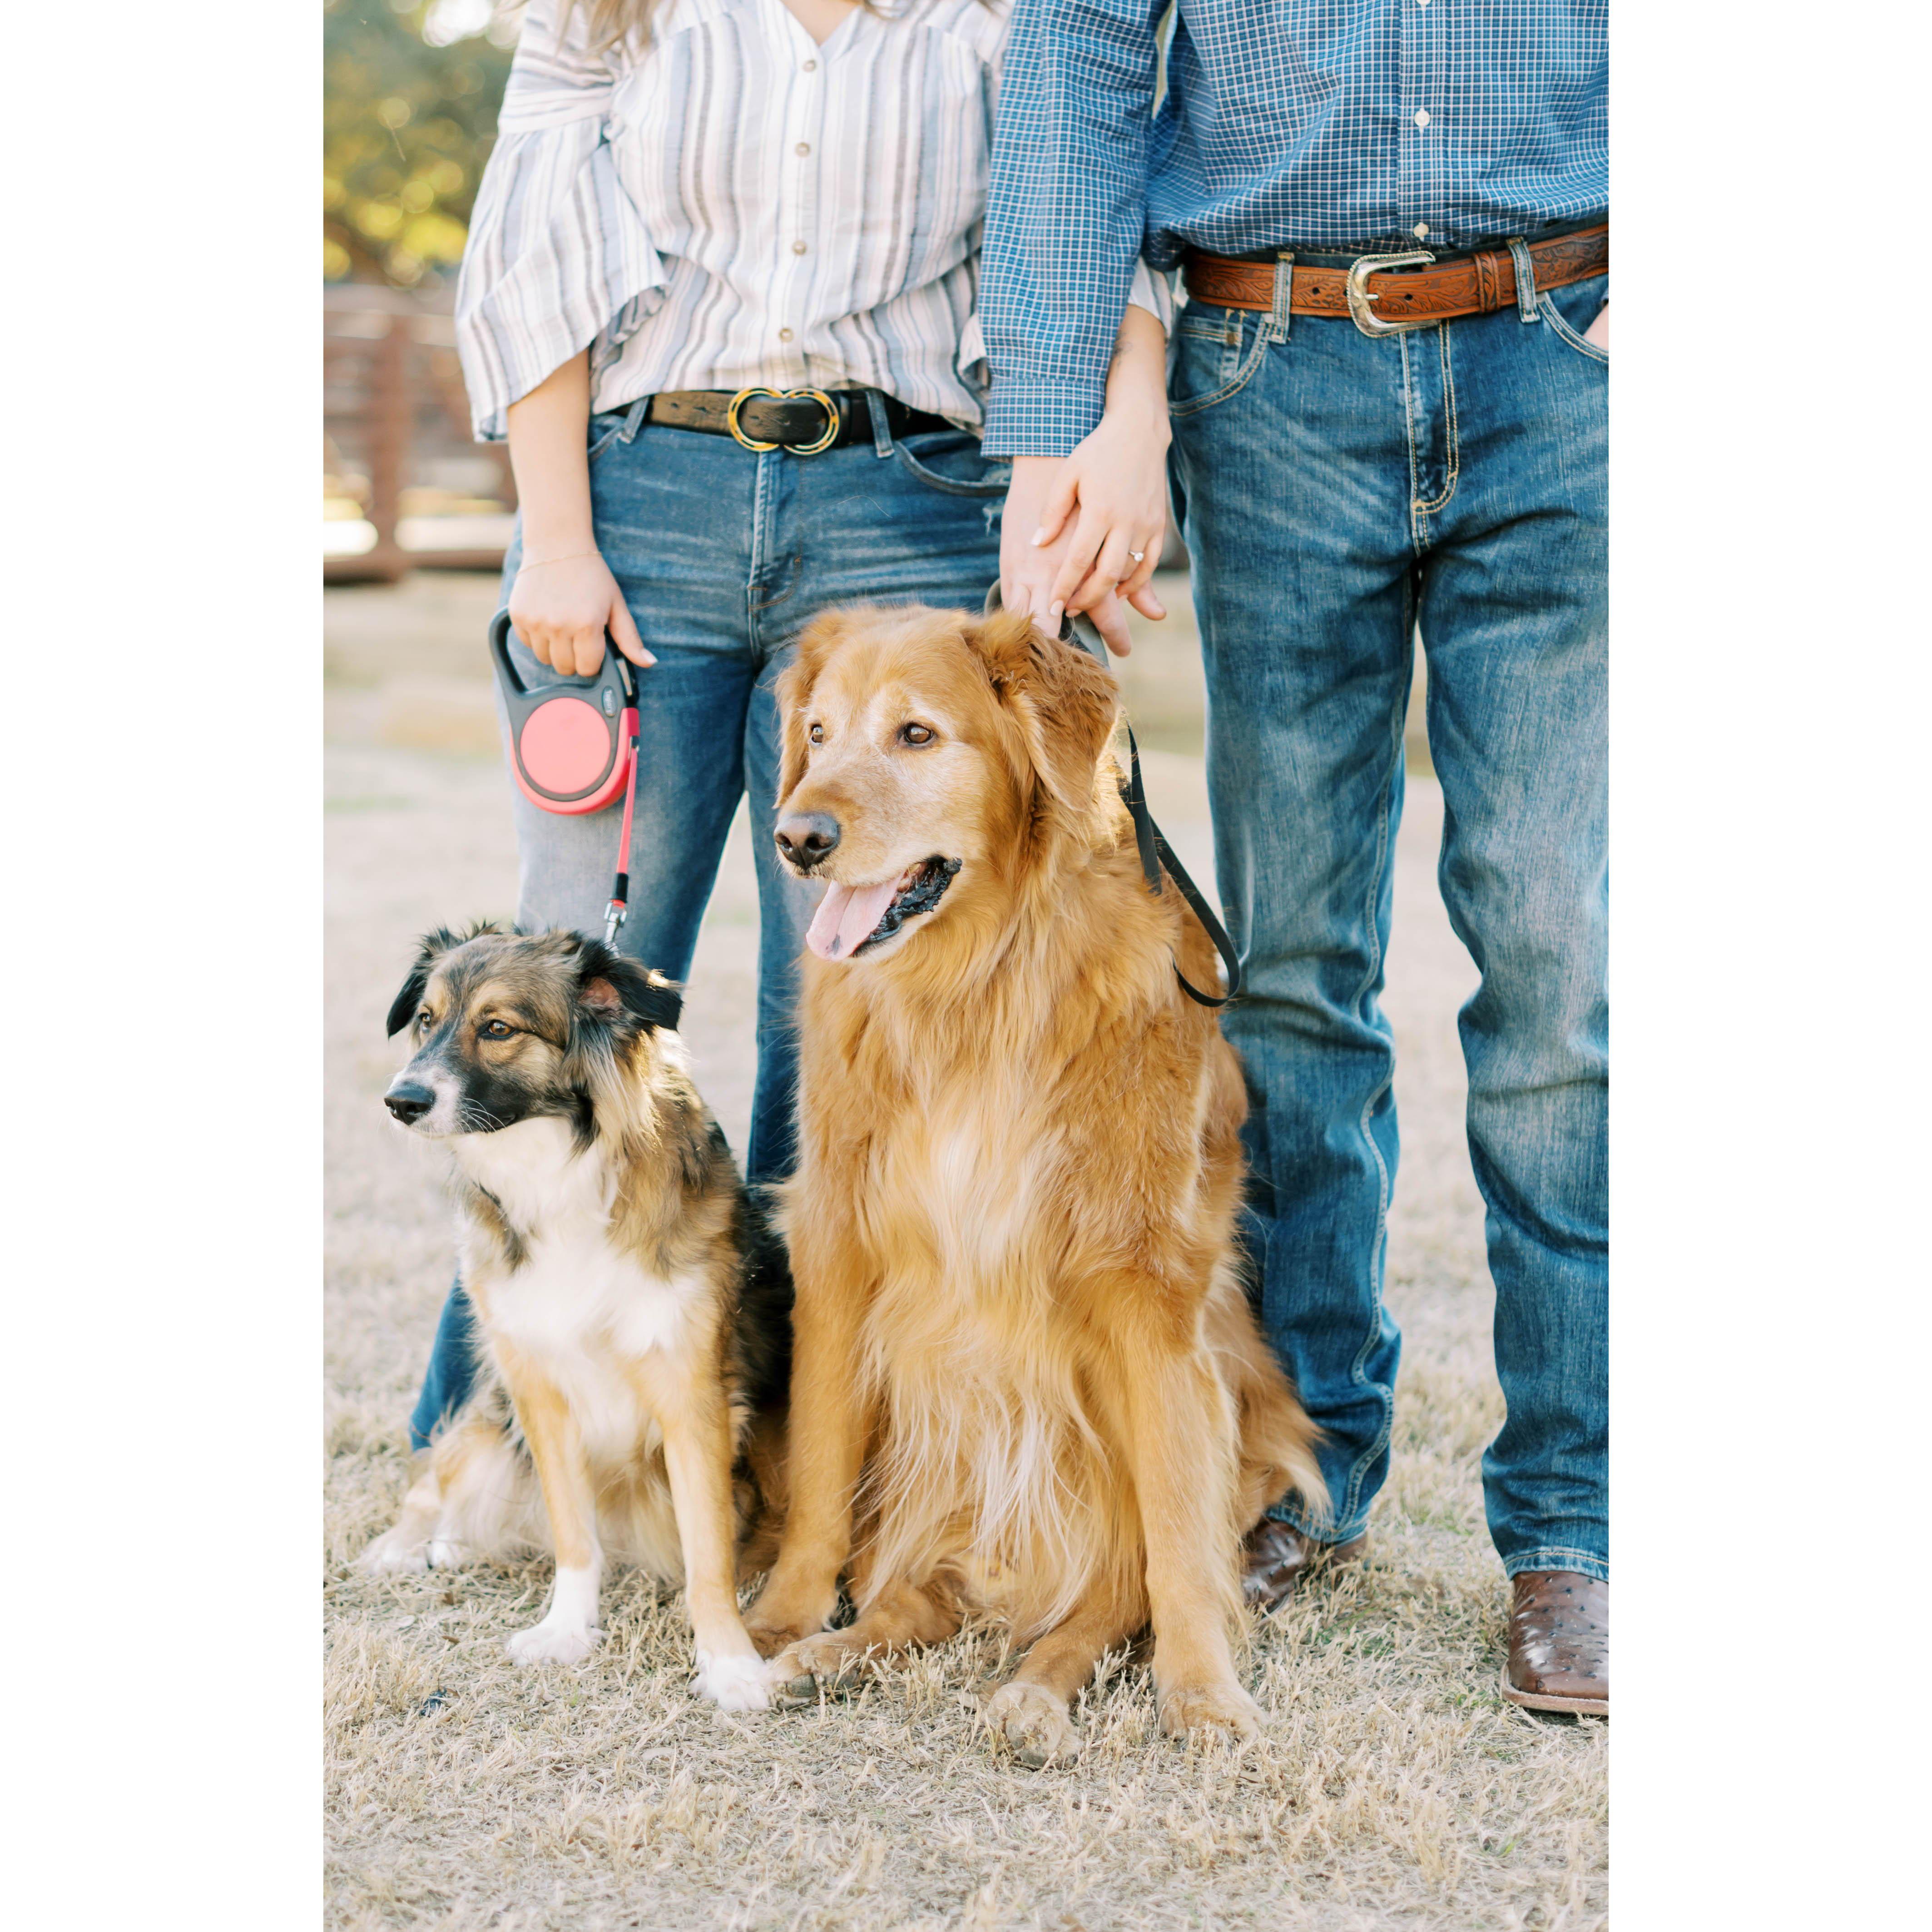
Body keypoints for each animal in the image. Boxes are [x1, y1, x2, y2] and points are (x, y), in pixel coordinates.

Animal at [363, 919, 784, 1708]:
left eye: (498, 1028)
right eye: (426, 1020)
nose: (400, 1101)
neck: (555, 1168)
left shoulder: (692, 1395)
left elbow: (707, 1548)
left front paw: (728, 1662)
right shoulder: (537, 1389)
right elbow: (571, 1531)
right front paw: (566, 1629)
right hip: (490, 1416)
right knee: (440, 1476)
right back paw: (414, 1544)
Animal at [742, 603, 1329, 1769]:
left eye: (917, 734)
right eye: (817, 733)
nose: (798, 837)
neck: (977, 984)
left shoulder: (1149, 1288)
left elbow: (1175, 1551)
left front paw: (1203, 1695)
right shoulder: (839, 1239)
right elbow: (824, 1471)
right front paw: (780, 1623)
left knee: (1110, 1590)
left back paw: (1032, 1696)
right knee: (911, 1594)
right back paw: (830, 1654)